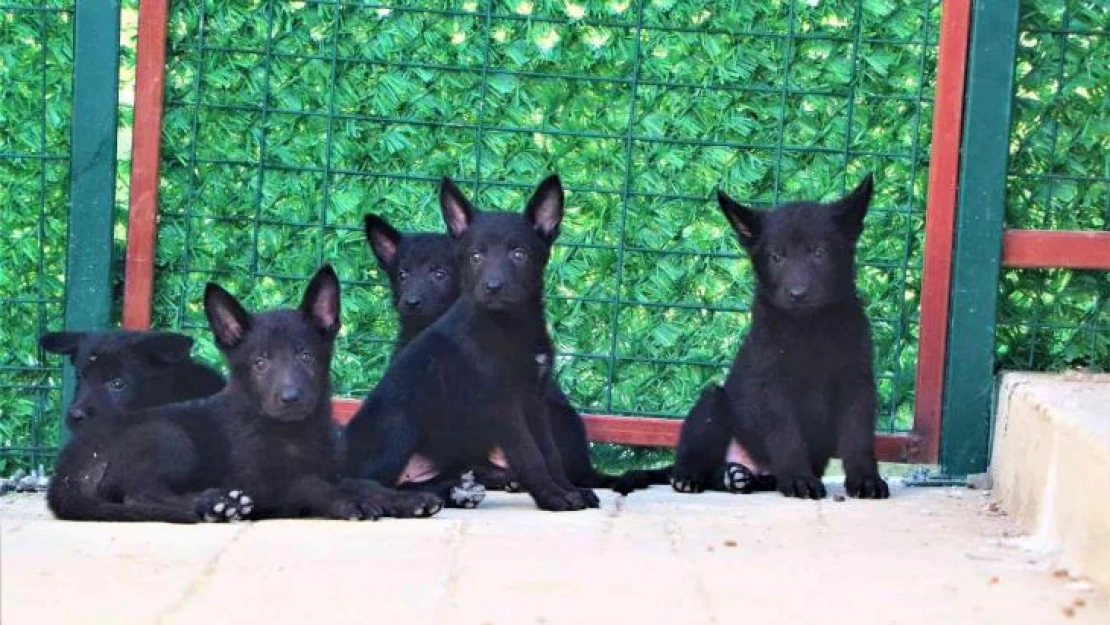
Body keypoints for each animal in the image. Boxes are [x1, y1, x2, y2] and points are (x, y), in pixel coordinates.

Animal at [346, 176, 603, 512]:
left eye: (518, 254)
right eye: (475, 256)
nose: (492, 287)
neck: (509, 326)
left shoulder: (534, 400)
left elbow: (550, 453)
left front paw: (568, 489)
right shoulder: (502, 405)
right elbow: (530, 455)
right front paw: (553, 496)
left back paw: (453, 492)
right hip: (399, 419)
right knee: (365, 481)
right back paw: (411, 502)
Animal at [666, 176, 892, 499]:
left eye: (818, 252)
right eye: (777, 257)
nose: (797, 294)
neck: (809, 327)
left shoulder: (857, 383)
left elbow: (858, 437)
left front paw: (865, 479)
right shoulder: (772, 386)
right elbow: (786, 437)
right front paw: (798, 479)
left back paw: (736, 477)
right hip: (712, 403)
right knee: (701, 444)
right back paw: (691, 476)